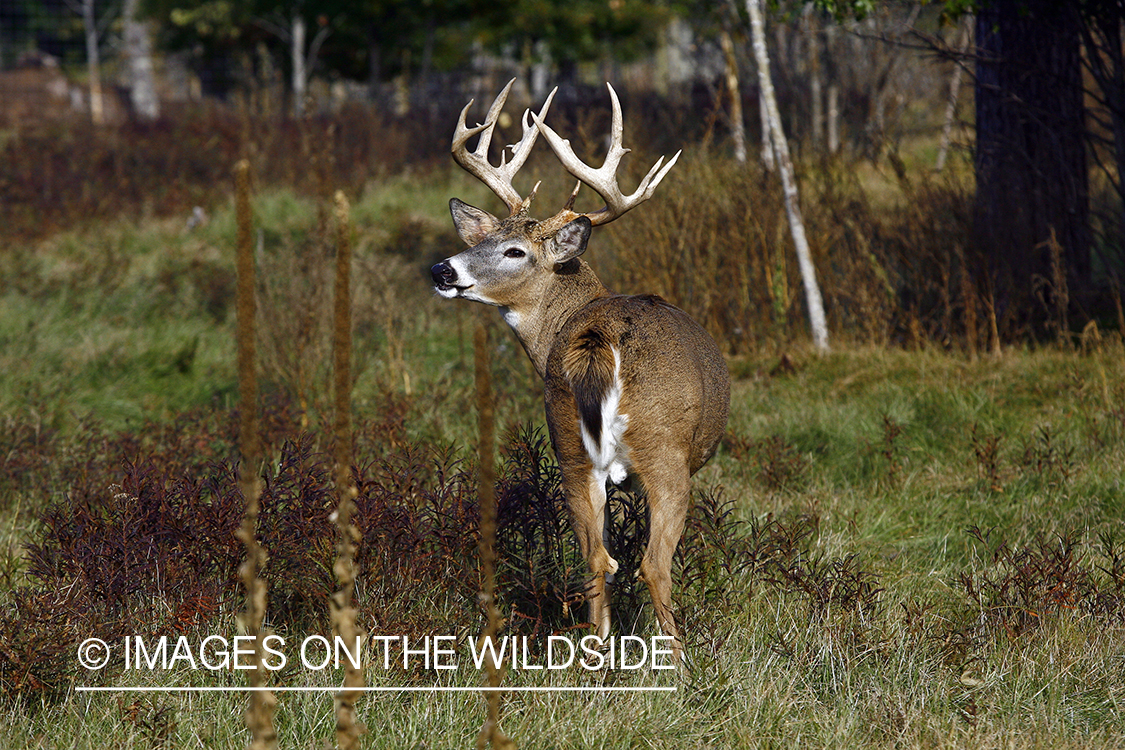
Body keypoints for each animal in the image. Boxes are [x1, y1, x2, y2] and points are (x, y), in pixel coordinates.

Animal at [429, 79, 729, 661]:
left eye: (512, 249)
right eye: (484, 241)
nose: (442, 269)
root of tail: (598, 340)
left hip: (568, 444)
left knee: (595, 560)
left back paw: (593, 653)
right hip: (664, 451)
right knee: (652, 566)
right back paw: (680, 665)